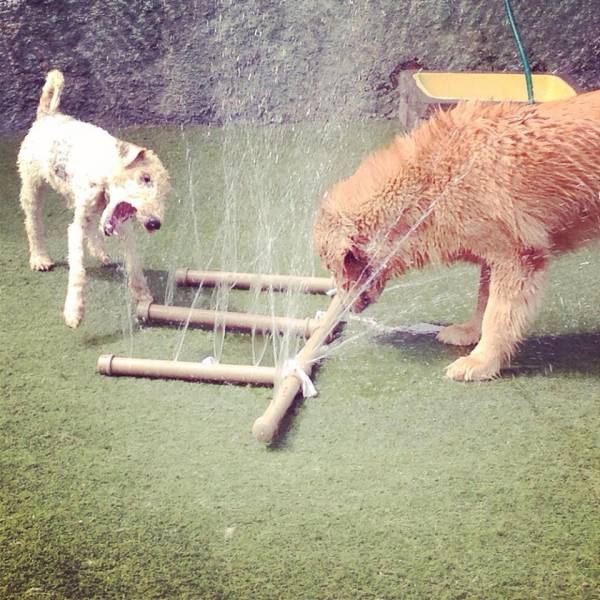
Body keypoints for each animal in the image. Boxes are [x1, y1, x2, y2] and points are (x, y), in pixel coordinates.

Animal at [17, 71, 170, 328]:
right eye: (145, 177)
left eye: (164, 192)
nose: (154, 224)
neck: (103, 170)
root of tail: (47, 116)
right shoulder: (78, 225)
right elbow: (77, 271)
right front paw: (74, 312)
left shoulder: (122, 226)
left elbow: (133, 264)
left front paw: (144, 297)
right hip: (32, 186)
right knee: (33, 223)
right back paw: (40, 258)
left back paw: (101, 253)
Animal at [314, 91, 600, 382]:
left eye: (336, 267)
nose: (344, 310)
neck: (431, 181)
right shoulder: (493, 252)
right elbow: (483, 300)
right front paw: (470, 332)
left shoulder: (518, 256)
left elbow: (497, 314)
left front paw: (481, 362)